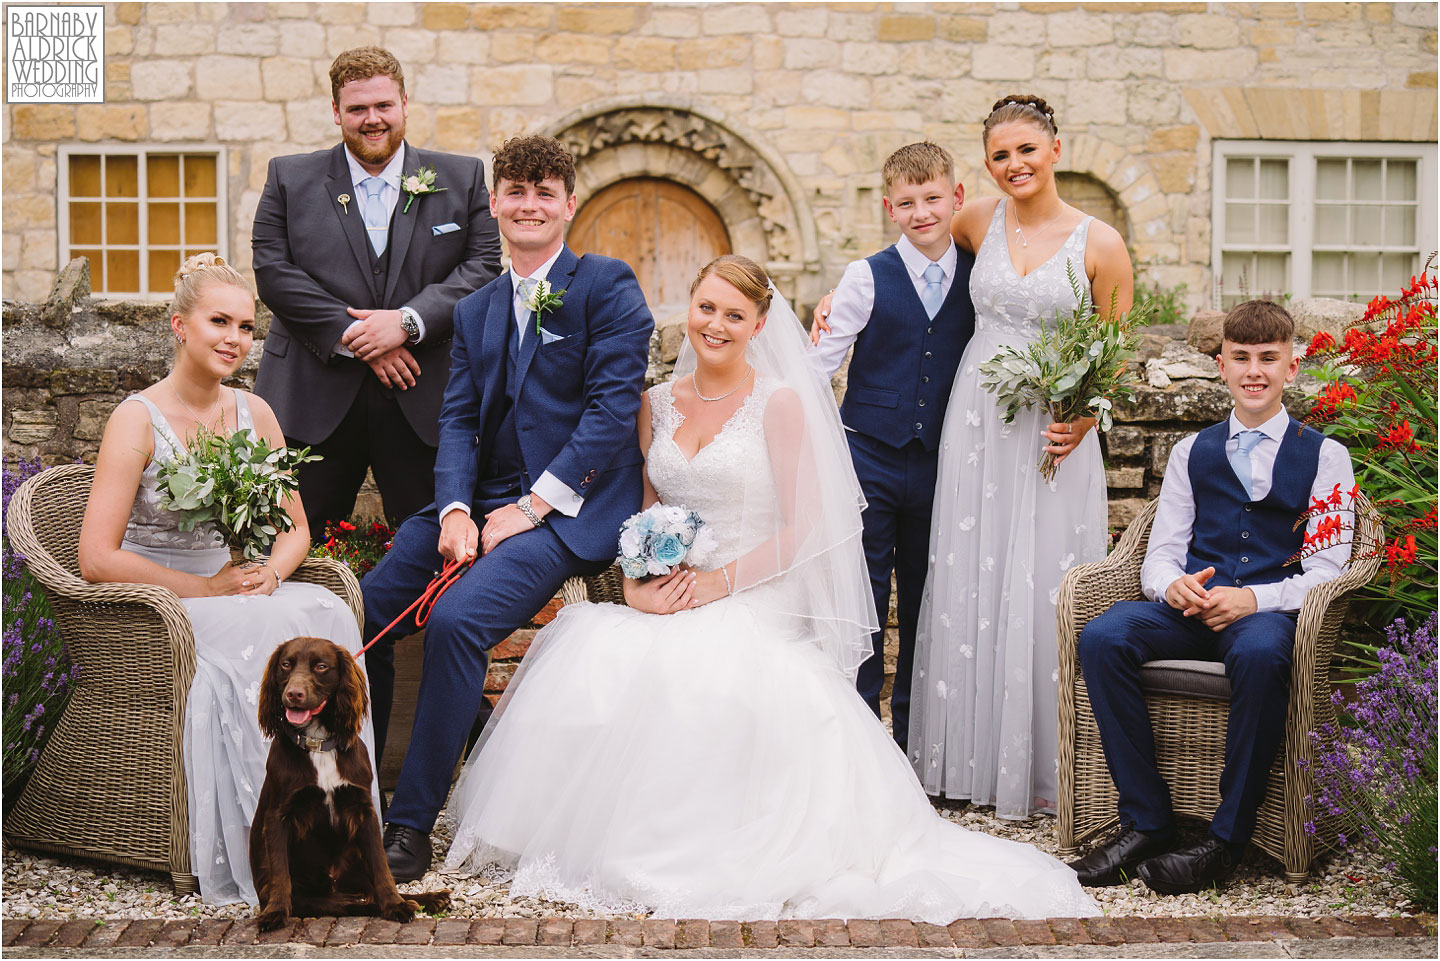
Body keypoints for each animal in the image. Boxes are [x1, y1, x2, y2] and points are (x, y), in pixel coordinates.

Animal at [250, 639, 446, 933]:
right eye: (285, 664)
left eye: (321, 666)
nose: (293, 694)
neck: (318, 744)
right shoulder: (278, 815)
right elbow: (281, 871)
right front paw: (275, 912)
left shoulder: (364, 810)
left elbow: (382, 868)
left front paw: (396, 905)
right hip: (314, 897)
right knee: (353, 904)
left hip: (355, 862)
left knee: (372, 889)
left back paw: (428, 898)